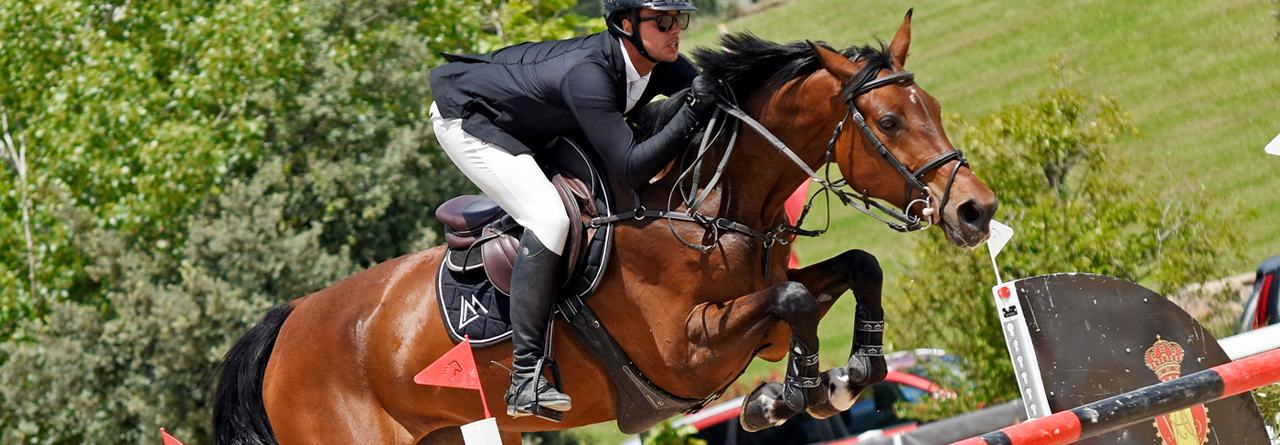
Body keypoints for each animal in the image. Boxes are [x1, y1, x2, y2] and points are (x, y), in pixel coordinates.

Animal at [212, 11, 998, 445]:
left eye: (931, 107)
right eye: (889, 121)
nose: (976, 210)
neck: (708, 202)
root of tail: (286, 324)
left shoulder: (754, 320)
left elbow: (856, 266)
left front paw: (849, 371)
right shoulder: (686, 353)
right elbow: (797, 299)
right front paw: (797, 391)